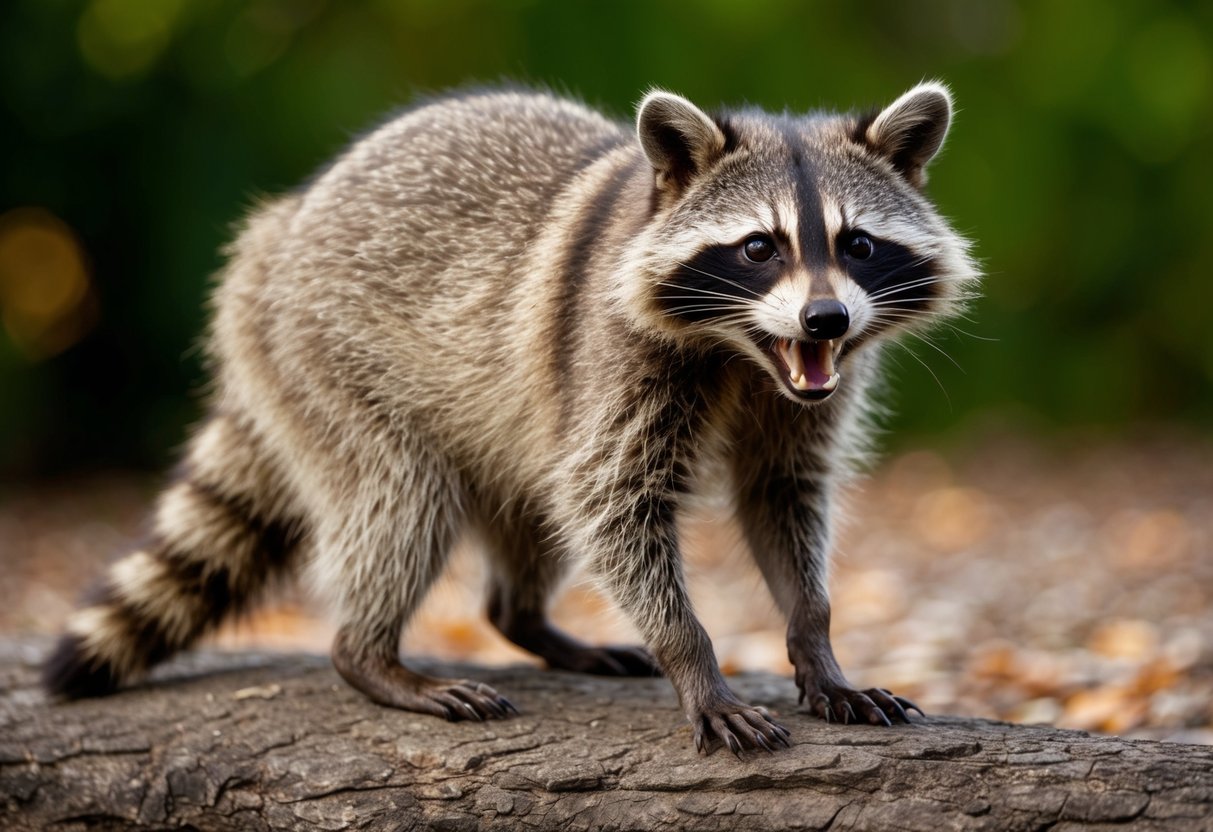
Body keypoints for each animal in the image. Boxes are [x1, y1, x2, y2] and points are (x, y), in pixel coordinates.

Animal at [44, 83, 978, 755]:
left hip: (496, 411)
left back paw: (524, 620)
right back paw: (370, 655)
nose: (824, 321)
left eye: (856, 244)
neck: (743, 354)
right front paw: (693, 659)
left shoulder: (808, 395)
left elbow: (780, 494)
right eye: (759, 248)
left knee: (525, 513)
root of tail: (279, 229)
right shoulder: (613, 357)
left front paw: (817, 644)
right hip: (322, 355)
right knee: (402, 502)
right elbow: (610, 503)